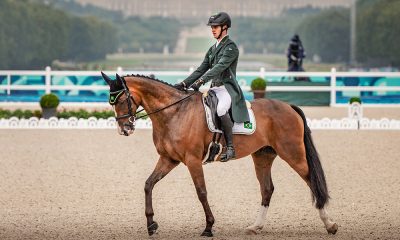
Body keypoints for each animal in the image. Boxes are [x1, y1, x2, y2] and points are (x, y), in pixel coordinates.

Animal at [101, 72, 338, 237]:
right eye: (110, 102)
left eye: (121, 100)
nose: (124, 130)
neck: (174, 112)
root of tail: (288, 106)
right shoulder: (169, 159)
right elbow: (148, 184)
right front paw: (151, 224)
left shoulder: (192, 161)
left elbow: (201, 192)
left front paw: (208, 227)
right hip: (263, 156)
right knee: (267, 189)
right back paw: (255, 227)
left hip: (293, 154)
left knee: (312, 182)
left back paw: (330, 225)